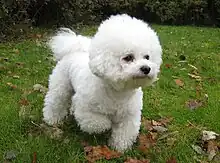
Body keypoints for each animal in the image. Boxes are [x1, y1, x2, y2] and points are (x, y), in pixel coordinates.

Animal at [42, 14, 162, 152]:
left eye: (147, 57)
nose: (146, 68)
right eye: (128, 57)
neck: (118, 92)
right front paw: (108, 126)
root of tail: (74, 50)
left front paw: (119, 148)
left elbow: (124, 133)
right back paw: (52, 119)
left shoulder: (129, 116)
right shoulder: (85, 111)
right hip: (61, 87)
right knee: (55, 102)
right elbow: (100, 123)